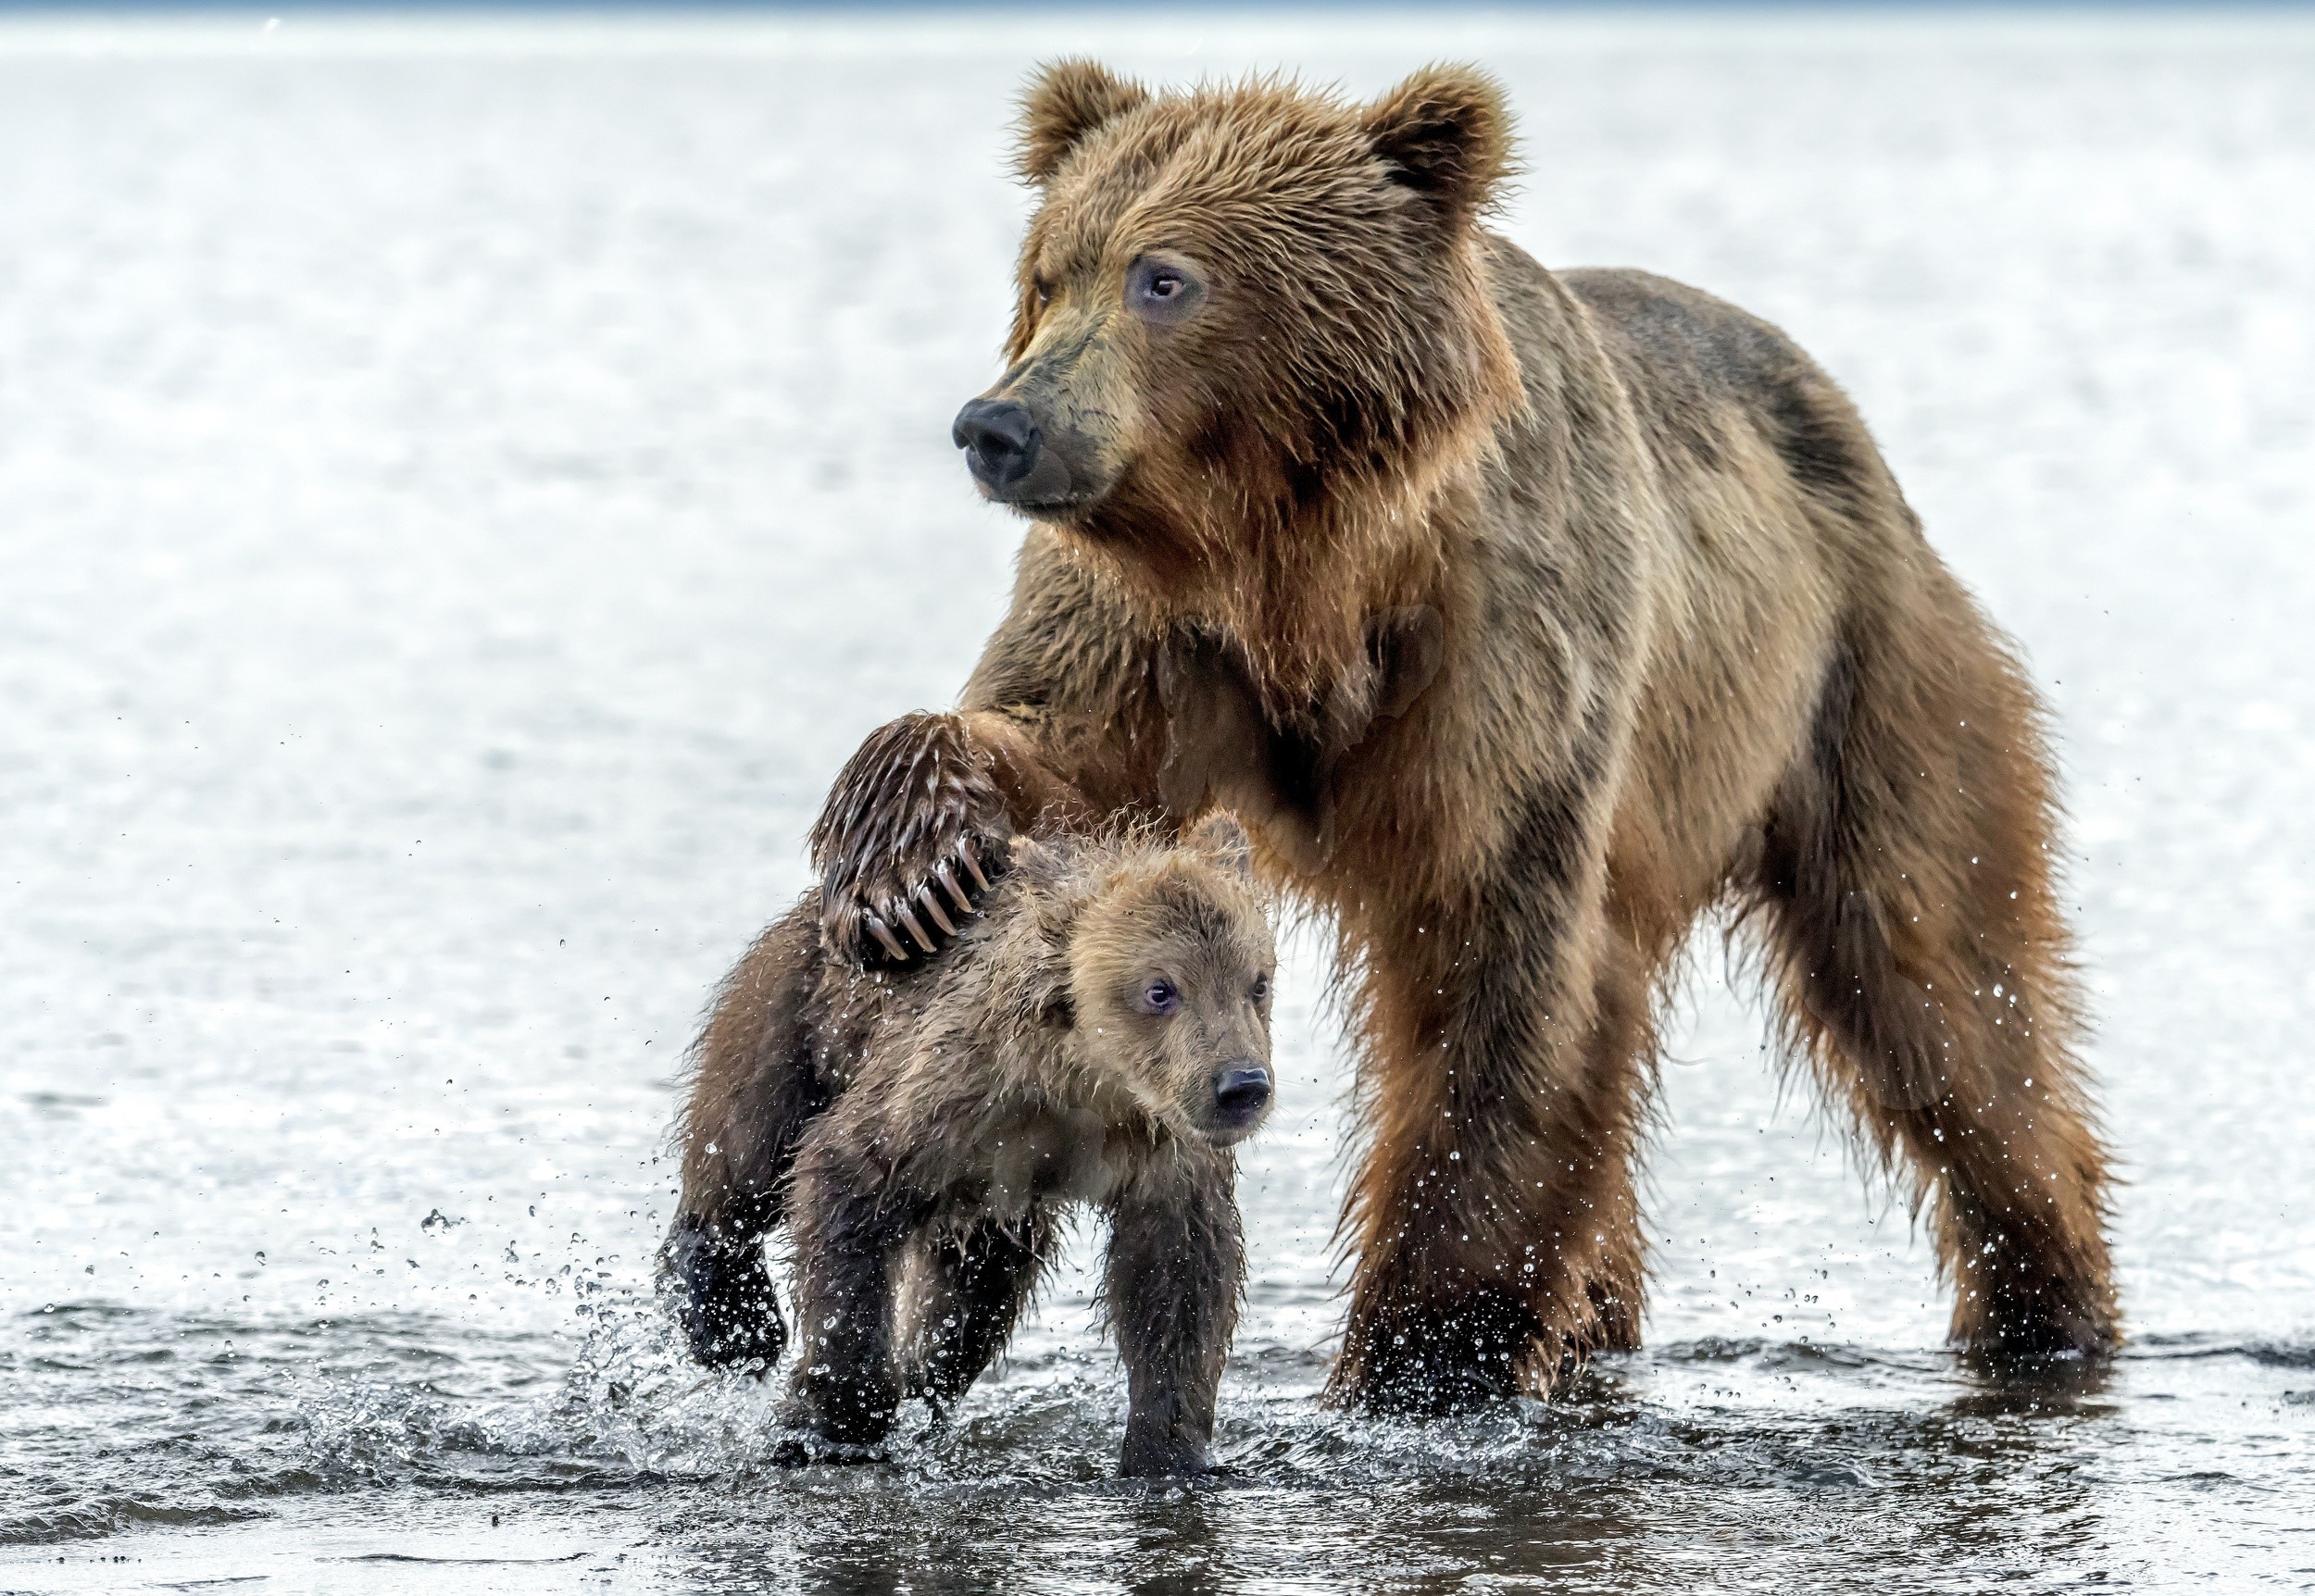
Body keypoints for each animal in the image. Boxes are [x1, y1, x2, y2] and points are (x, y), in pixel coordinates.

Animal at [663, 811, 1277, 1477]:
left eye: (1257, 983)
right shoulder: (952, 1089)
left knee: (977, 1299)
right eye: (1160, 990)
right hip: (800, 1011)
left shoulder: (1162, 1149)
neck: (1086, 1081)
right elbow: (845, 1179)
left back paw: (925, 1382)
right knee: (747, 1146)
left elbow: (1179, 1277)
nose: (1242, 1085)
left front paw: (1165, 1452)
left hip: (991, 1205)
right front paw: (829, 1424)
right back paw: (733, 1319)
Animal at [803, 61, 2118, 1413]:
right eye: (1045, 274)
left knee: (1940, 982)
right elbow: (1051, 755)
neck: (1304, 571)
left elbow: (1495, 978)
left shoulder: (1503, 656)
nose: (996, 426)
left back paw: (2045, 1301)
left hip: (1865, 678)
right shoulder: (1147, 634)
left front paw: (1422, 1355)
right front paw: (913, 863)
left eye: (1163, 276)